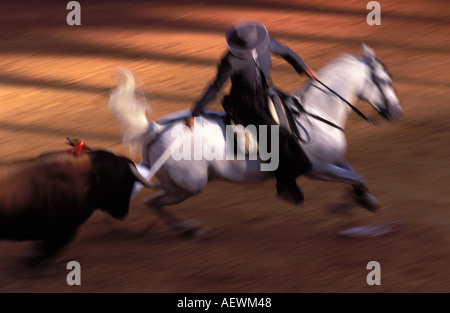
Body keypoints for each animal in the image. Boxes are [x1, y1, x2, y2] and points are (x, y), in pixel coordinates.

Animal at [109, 44, 404, 234]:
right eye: (383, 80)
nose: (397, 112)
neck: (317, 113)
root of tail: (157, 129)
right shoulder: (319, 169)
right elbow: (356, 176)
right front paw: (355, 204)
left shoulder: (334, 160)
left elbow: (354, 175)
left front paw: (360, 201)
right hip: (190, 185)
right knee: (152, 201)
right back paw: (189, 228)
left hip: (178, 183)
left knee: (150, 198)